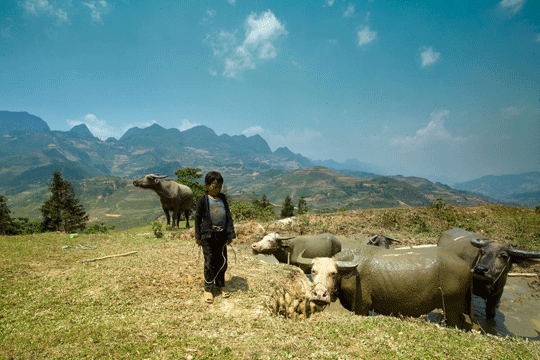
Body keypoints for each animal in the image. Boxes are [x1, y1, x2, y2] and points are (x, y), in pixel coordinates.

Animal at [298, 246, 470, 328]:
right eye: (313, 271)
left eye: (333, 273)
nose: (319, 294)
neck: (350, 272)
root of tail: (466, 266)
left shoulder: (362, 306)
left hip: (452, 307)